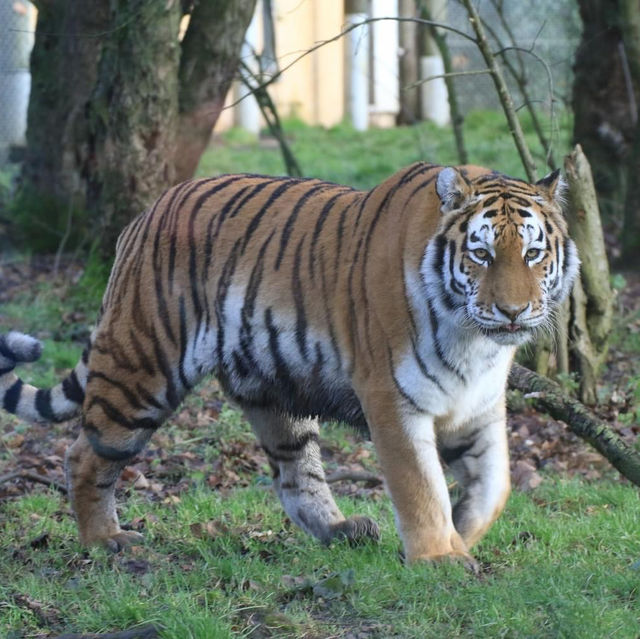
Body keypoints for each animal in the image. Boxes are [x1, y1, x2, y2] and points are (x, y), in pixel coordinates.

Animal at [0, 165, 580, 568]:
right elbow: (418, 485)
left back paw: (342, 530)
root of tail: (144, 217)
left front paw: (460, 529)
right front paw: (440, 556)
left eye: (532, 254)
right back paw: (106, 541)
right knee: (83, 454)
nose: (513, 311)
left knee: (293, 474)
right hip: (141, 368)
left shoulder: (478, 406)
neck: (474, 341)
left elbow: (495, 487)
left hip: (275, 390)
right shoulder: (391, 400)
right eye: (481, 255)